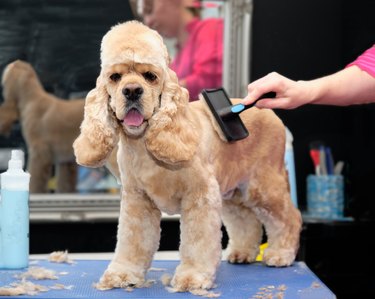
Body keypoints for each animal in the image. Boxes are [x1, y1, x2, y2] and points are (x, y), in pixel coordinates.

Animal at [73, 21, 302, 292]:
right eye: (115, 77)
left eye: (150, 76)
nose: (132, 91)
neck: (144, 146)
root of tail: (271, 115)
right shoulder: (137, 201)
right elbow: (132, 241)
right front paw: (122, 273)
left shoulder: (200, 195)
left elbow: (197, 242)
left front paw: (193, 277)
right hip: (231, 191)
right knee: (245, 219)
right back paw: (242, 252)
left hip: (263, 186)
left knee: (289, 216)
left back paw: (281, 253)